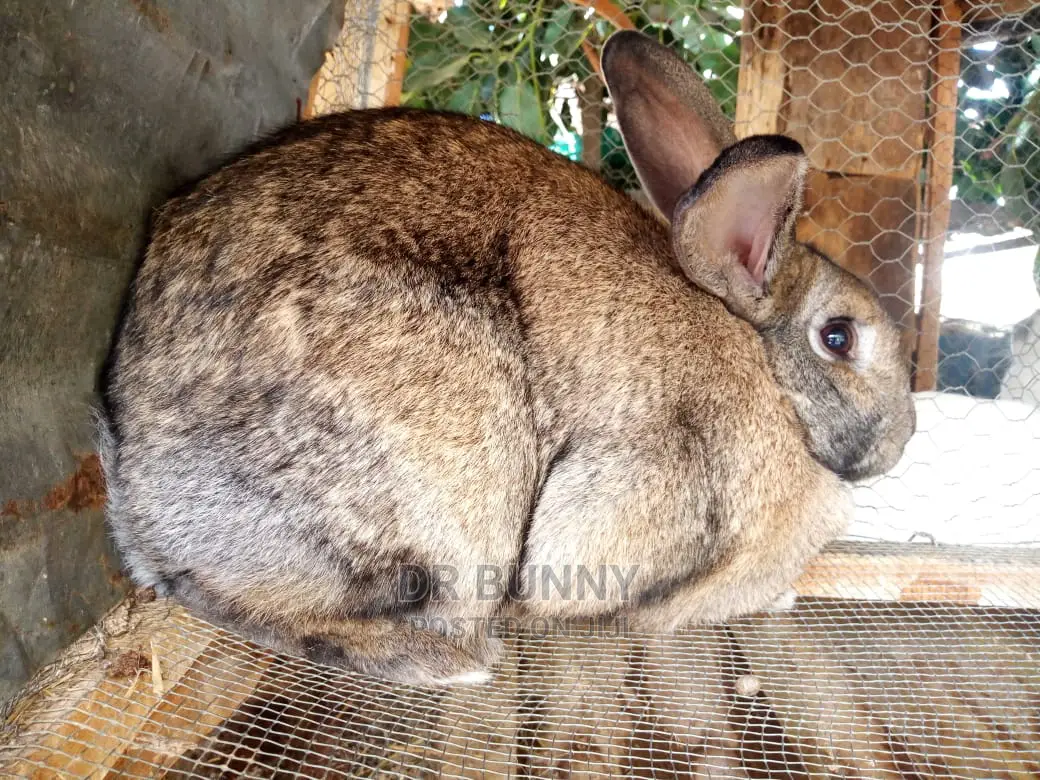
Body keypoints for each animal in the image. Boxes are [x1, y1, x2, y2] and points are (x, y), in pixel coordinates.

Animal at [98, 30, 915, 686]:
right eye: (839, 338)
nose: (903, 440)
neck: (768, 373)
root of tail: (134, 471)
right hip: (451, 479)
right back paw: (444, 664)